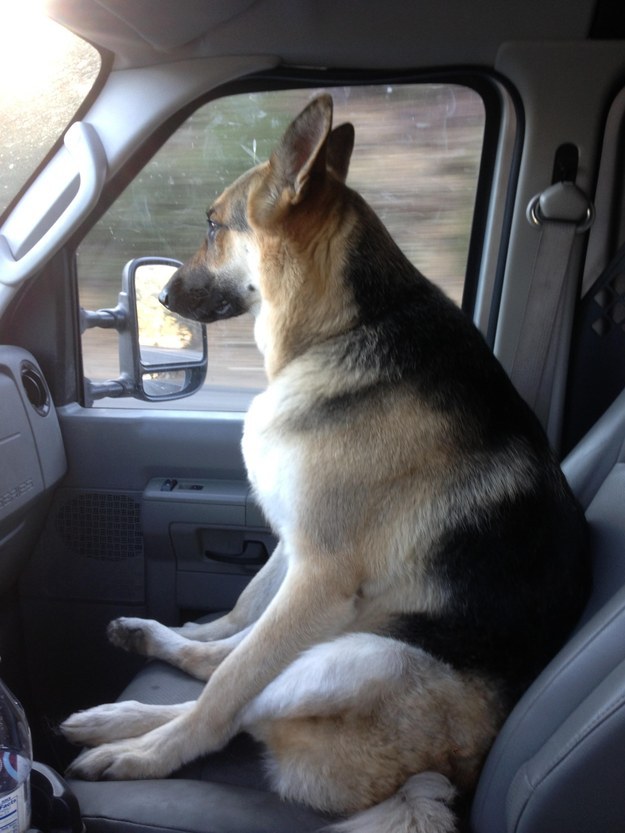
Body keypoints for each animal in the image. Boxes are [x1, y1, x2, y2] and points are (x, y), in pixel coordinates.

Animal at [61, 94, 589, 833]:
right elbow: (240, 613)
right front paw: (190, 634)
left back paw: (137, 745)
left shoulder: (320, 575)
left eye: (213, 225)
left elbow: (230, 682)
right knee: (222, 662)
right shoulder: (295, 543)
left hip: (344, 660)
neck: (348, 327)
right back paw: (141, 661)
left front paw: (150, 753)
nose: (158, 299)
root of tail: (437, 780)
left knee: (228, 703)